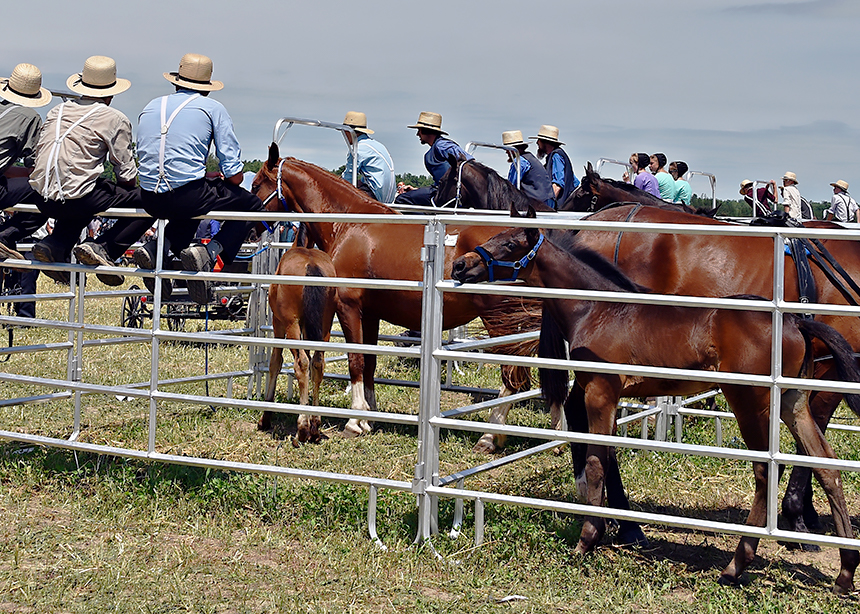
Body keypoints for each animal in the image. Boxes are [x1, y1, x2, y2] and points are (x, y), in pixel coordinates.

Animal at [256, 244, 338, 442]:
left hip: (291, 325)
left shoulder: (278, 324)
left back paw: (302, 428)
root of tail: (311, 265)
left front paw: (266, 417)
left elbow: (275, 363)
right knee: (317, 363)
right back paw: (314, 426)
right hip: (325, 325)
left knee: (301, 363)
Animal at [450, 207, 860, 596]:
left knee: (765, 471)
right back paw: (844, 574)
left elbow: (597, 462)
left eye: (509, 244)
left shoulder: (601, 392)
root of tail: (794, 322)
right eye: (495, 236)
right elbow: (604, 456)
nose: (460, 266)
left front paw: (587, 541)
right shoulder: (605, 395)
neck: (598, 309)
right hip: (793, 401)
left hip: (750, 402)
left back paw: (736, 566)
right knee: (826, 465)